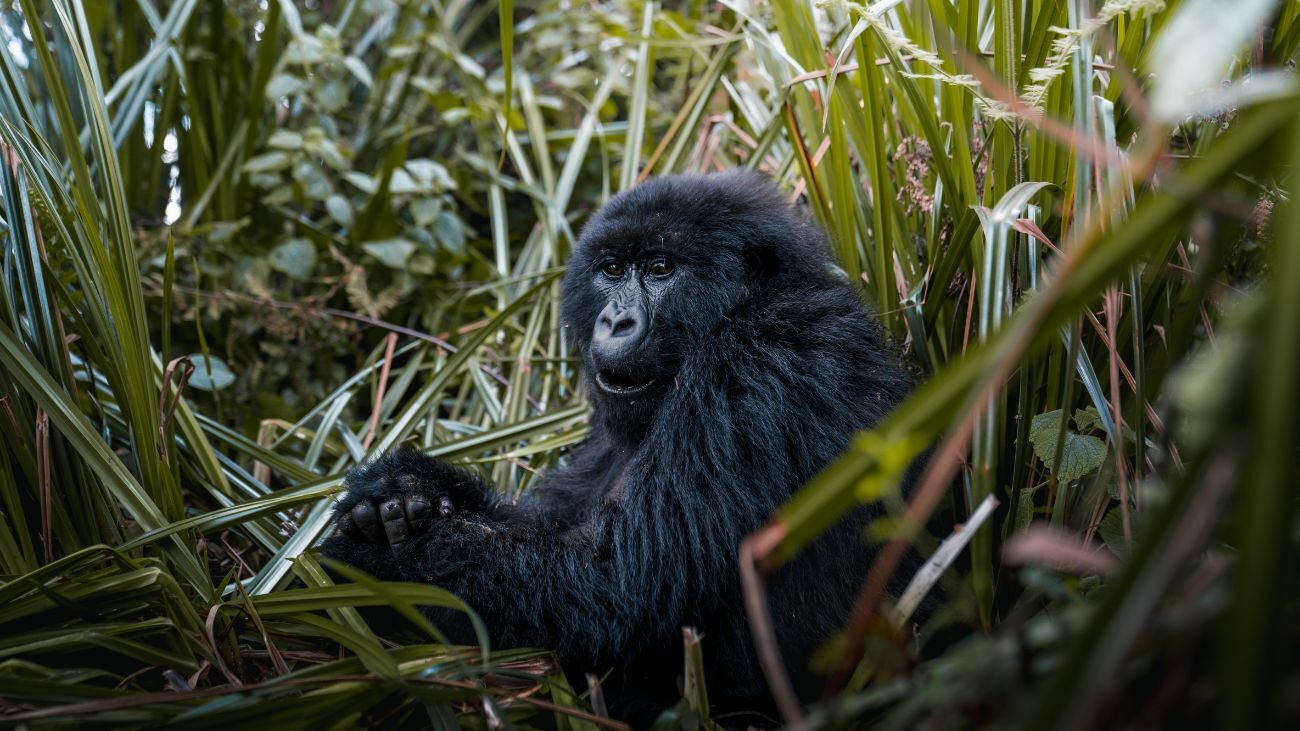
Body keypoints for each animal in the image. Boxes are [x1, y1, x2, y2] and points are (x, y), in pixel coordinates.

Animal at [323, 169, 915, 723]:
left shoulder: (763, 359)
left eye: (660, 269)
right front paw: (410, 490)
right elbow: (553, 526)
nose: (615, 319)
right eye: (611, 270)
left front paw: (378, 556)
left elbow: (618, 585)